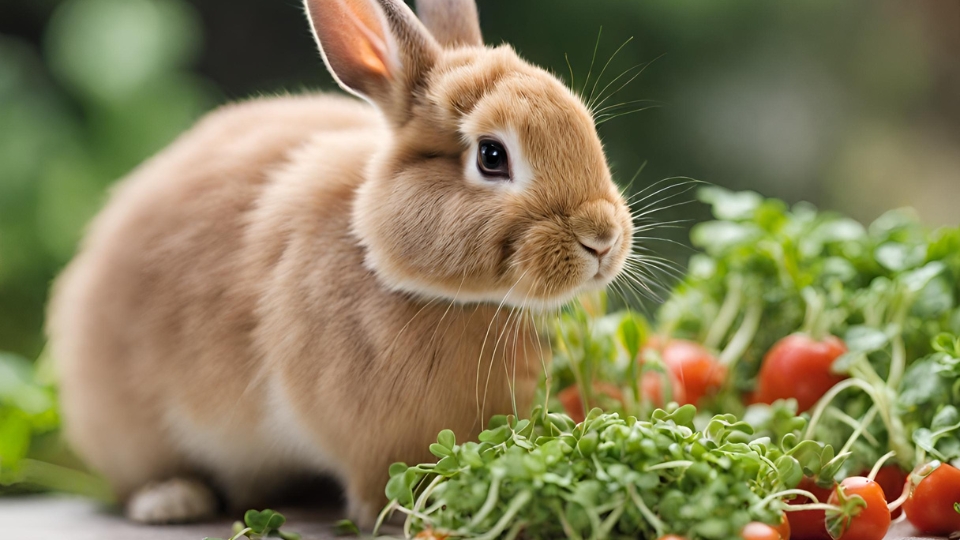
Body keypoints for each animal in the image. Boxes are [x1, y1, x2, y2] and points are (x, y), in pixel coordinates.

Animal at [47, 0, 634, 527]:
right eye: (492, 156)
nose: (602, 239)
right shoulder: (371, 443)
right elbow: (380, 487)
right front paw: (413, 510)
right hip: (130, 424)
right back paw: (171, 500)